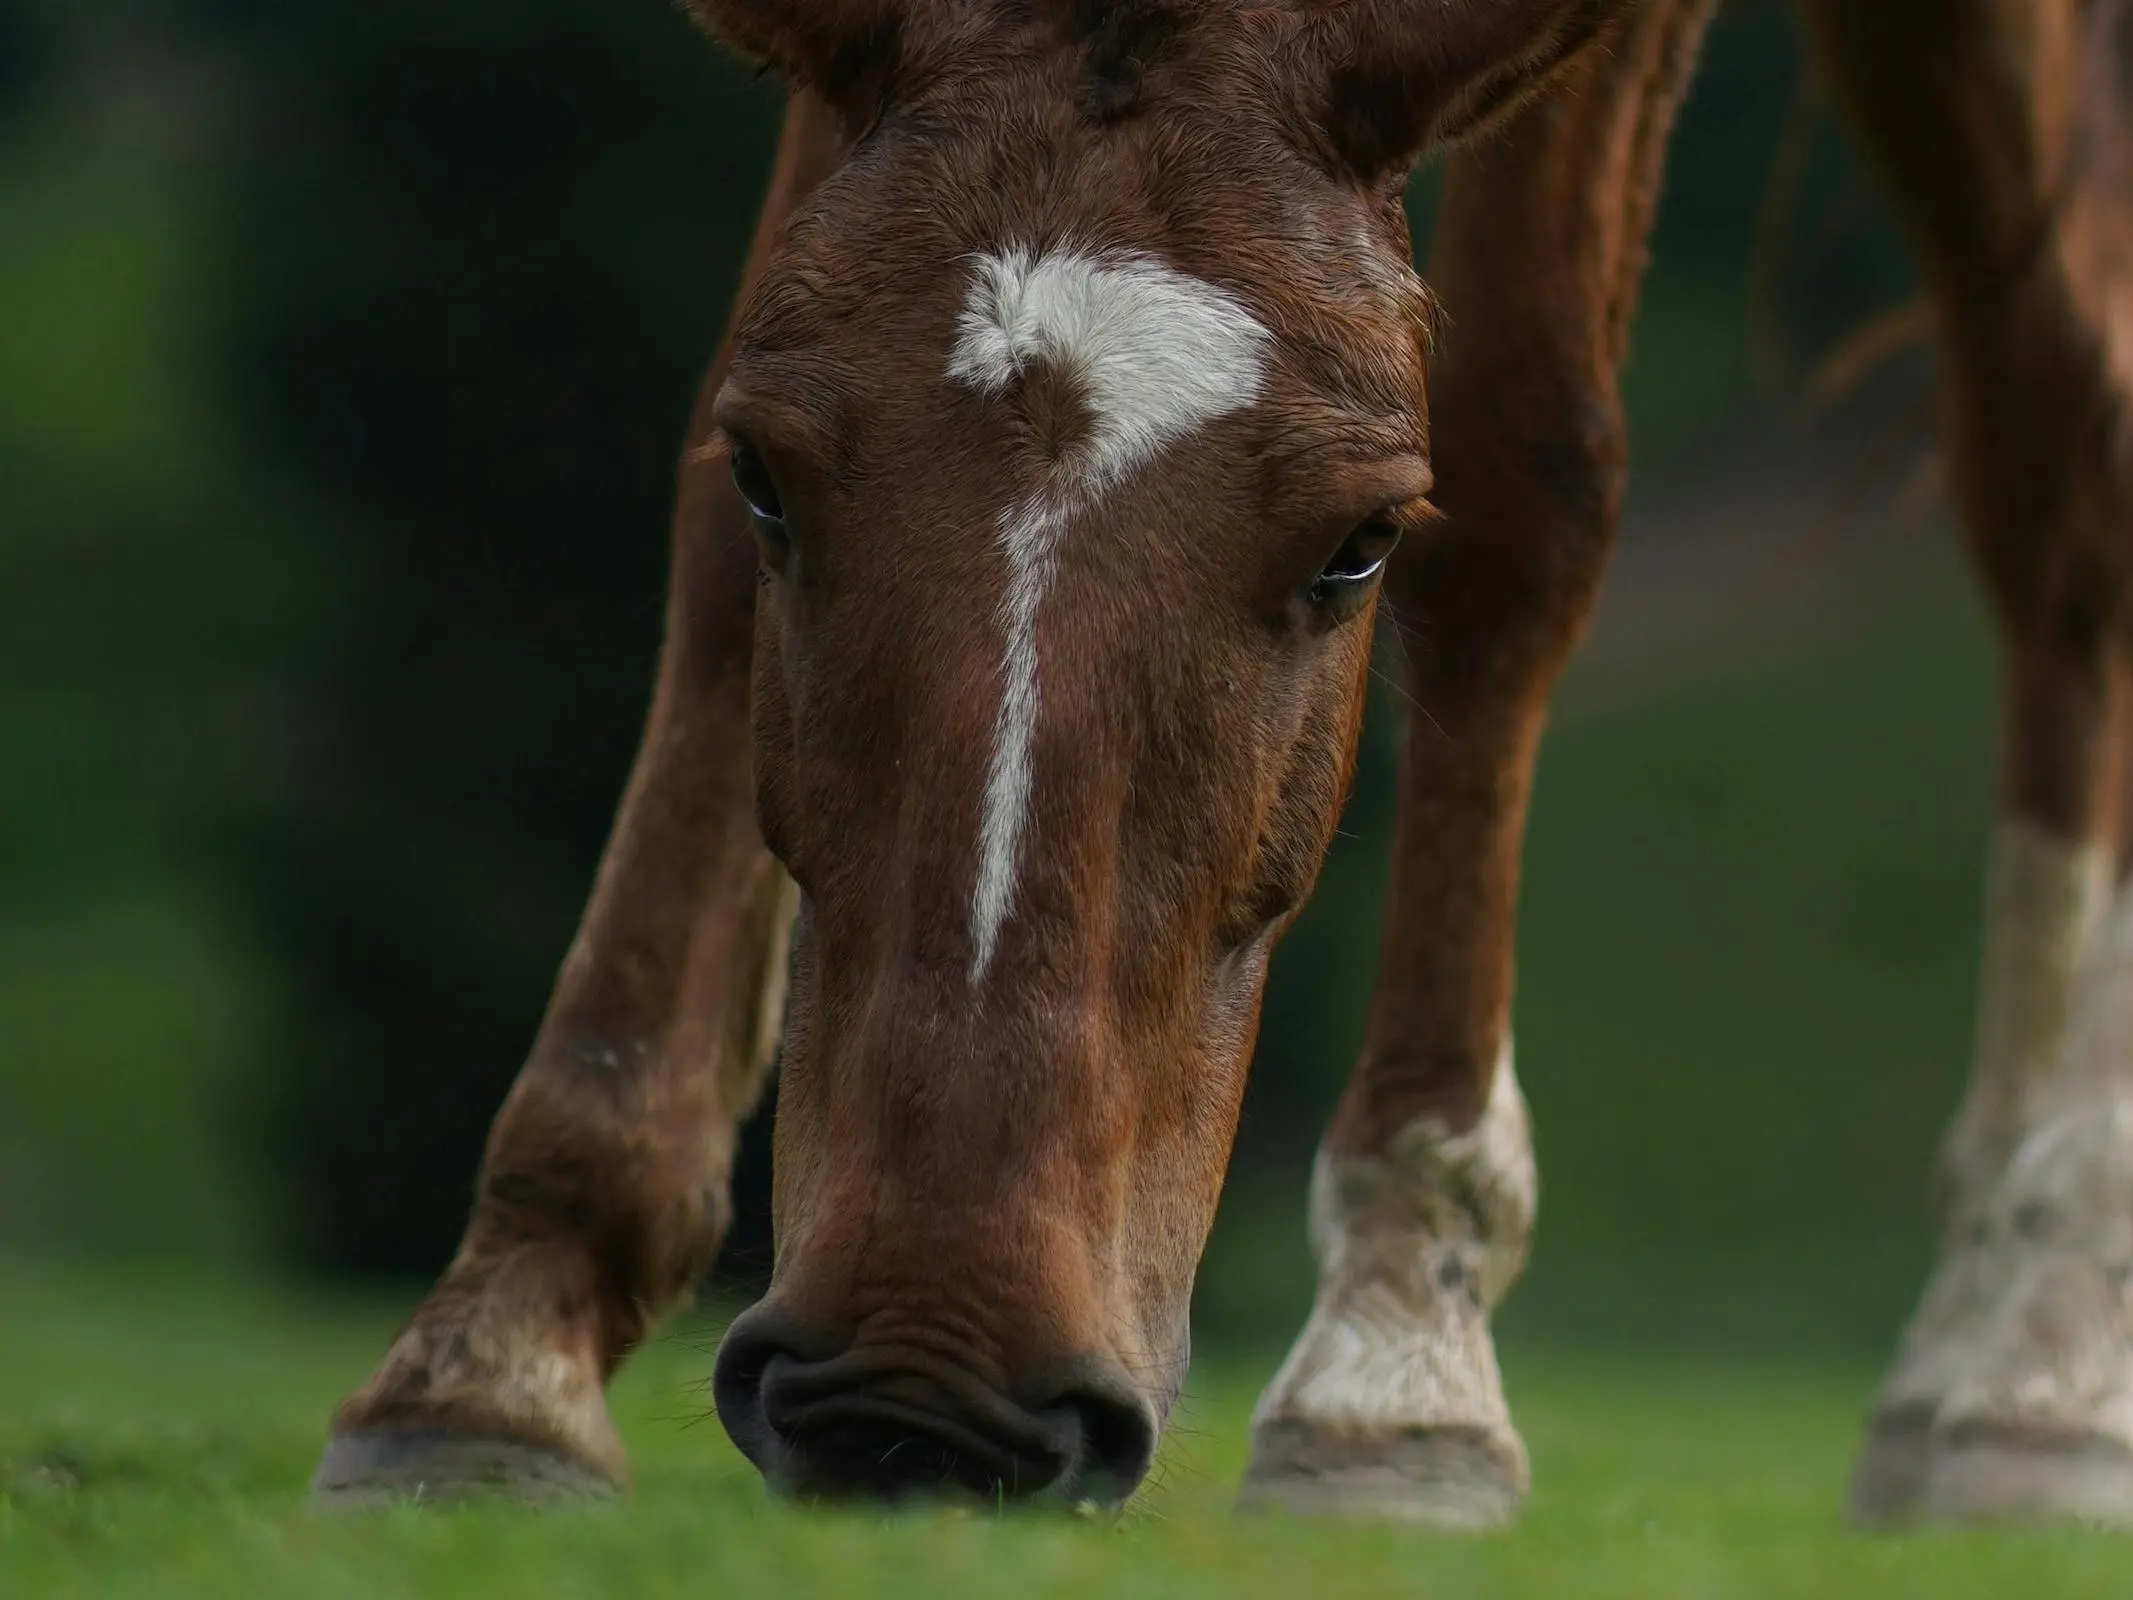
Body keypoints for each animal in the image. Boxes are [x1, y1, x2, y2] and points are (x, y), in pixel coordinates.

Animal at [309, 0, 2133, 1527]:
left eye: (1360, 542)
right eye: (771, 480)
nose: (920, 1383)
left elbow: (1520, 472)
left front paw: (1399, 1346)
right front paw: (507, 1336)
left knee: (2062, 453)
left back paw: (2029, 1346)